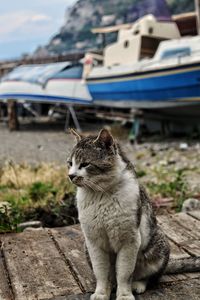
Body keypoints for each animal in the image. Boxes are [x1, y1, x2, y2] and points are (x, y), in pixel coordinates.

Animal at [68, 128, 199, 300]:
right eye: (70, 163)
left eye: (85, 164)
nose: (70, 175)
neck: (101, 194)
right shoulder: (94, 242)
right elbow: (101, 273)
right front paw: (101, 293)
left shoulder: (129, 241)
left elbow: (124, 273)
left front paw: (124, 295)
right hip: (86, 248)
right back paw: (112, 285)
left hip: (158, 246)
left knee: (148, 276)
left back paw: (137, 285)